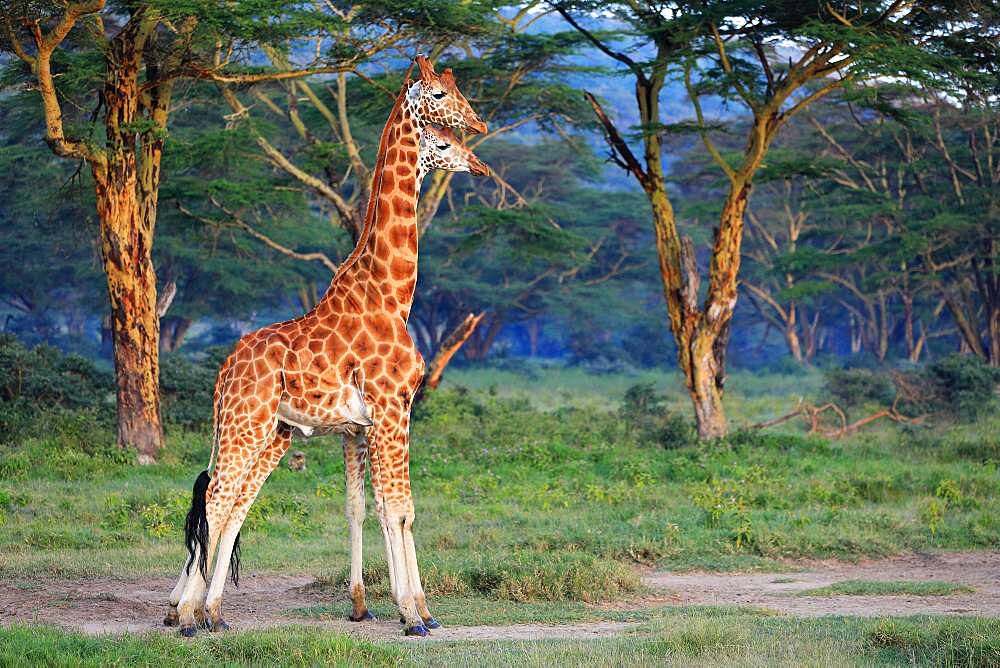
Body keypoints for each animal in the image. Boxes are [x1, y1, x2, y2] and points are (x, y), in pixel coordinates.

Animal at [166, 61, 486, 636]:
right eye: (438, 104)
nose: (478, 148)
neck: (391, 296)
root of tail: (224, 371)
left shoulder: (362, 424)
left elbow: (369, 508)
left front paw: (387, 606)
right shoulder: (391, 408)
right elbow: (400, 508)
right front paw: (415, 615)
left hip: (267, 432)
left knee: (230, 504)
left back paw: (209, 612)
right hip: (247, 426)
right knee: (219, 500)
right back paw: (185, 616)